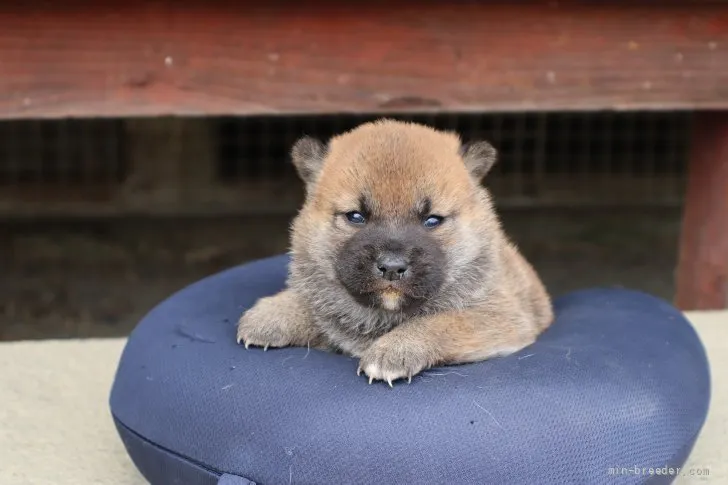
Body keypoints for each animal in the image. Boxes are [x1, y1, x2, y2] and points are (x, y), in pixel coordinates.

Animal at [237, 120, 552, 386]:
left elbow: (442, 321)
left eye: (432, 220)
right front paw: (274, 314)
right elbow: (318, 305)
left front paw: (395, 350)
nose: (391, 267)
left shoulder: (502, 315)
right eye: (355, 216)